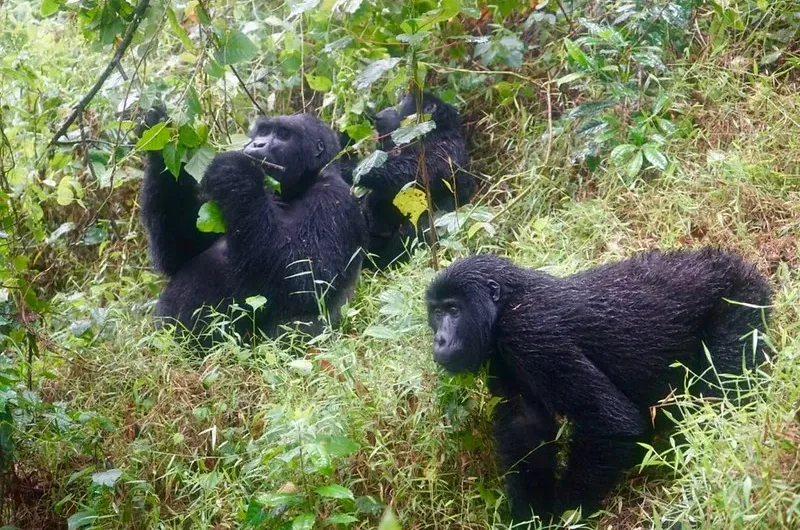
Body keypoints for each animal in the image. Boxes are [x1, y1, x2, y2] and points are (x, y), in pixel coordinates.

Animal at [140, 109, 368, 344]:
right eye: (264, 131)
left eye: (283, 135)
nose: (258, 144)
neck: (297, 187)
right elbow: (179, 253)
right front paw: (159, 131)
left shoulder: (334, 197)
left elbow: (306, 280)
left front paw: (235, 172)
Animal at [340, 90, 472, 268]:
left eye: (401, 102)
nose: (386, 110)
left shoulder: (444, 148)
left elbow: (410, 174)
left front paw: (345, 166)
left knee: (426, 223)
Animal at [428, 248, 772, 520]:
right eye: (436, 312)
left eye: (454, 310)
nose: (439, 340)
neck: (509, 302)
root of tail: (729, 260)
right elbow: (526, 429)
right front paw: (531, 515)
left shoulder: (528, 332)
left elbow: (611, 422)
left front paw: (566, 512)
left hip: (741, 300)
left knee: (720, 395)